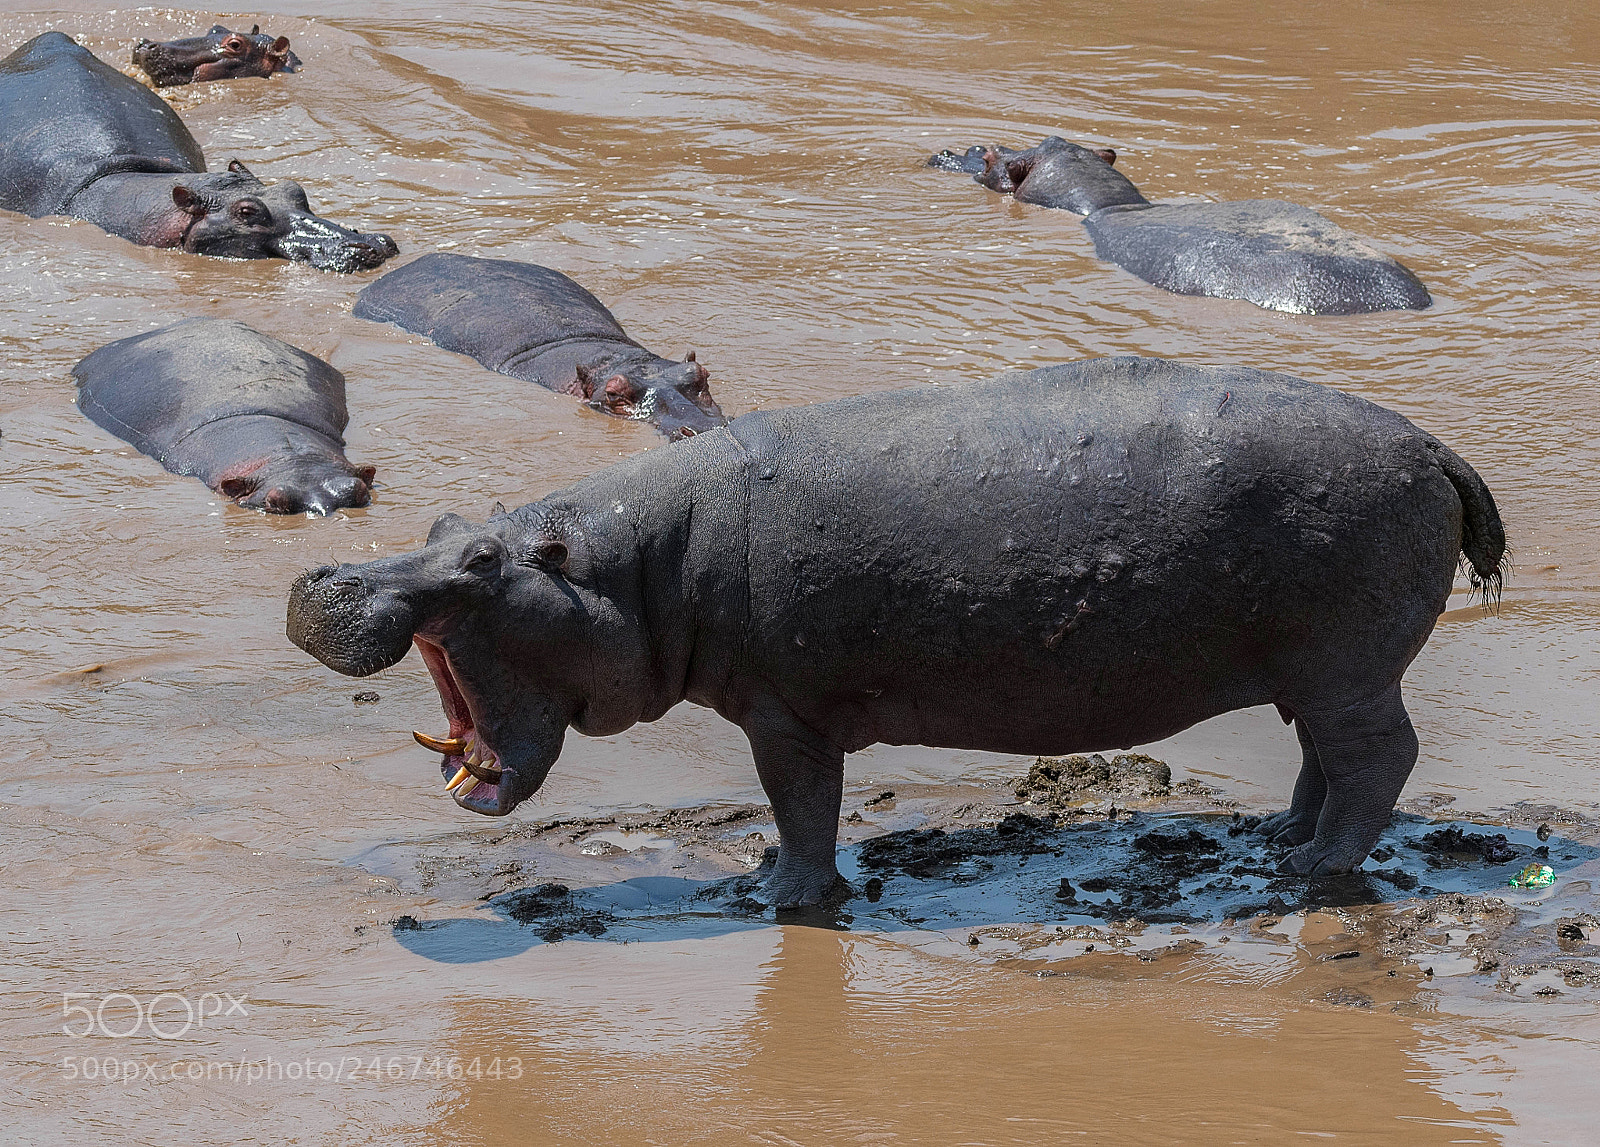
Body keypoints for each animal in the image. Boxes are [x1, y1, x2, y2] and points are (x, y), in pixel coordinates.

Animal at [285, 356, 1505, 907]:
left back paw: (1314, 873)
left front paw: (780, 895)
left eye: (481, 562)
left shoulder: (786, 712)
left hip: (1350, 668)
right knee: (1322, 759)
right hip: (1319, 668)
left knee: (1378, 757)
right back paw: (1280, 840)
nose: (323, 575)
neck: (632, 566)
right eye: (445, 525)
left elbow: (803, 804)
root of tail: (1431, 444)